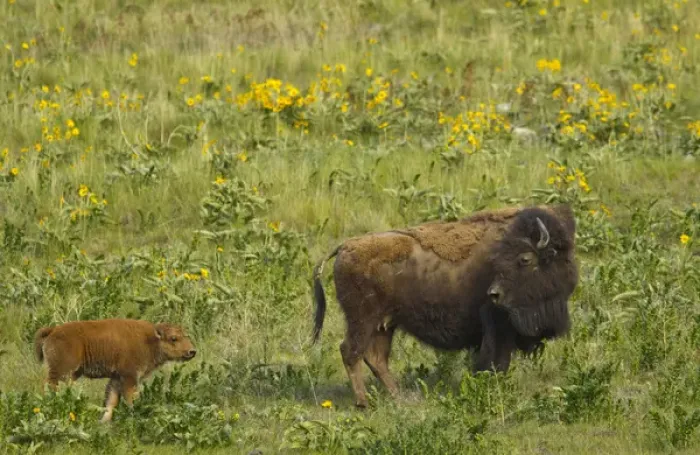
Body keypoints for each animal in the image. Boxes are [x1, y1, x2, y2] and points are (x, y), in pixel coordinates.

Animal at [34, 318, 197, 422]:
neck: (150, 340)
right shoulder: (129, 377)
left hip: (71, 374)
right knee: (49, 385)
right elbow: (129, 398)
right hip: (62, 372)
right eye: (173, 338)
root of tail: (53, 330)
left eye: (186, 335)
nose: (192, 351)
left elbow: (111, 400)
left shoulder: (116, 378)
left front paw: (104, 421)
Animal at [311, 204, 578, 408]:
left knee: (376, 358)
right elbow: (496, 361)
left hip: (384, 325)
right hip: (362, 320)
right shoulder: (499, 328)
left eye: (524, 259)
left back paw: (401, 398)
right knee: (351, 352)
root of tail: (345, 247)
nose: (494, 293)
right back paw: (363, 402)